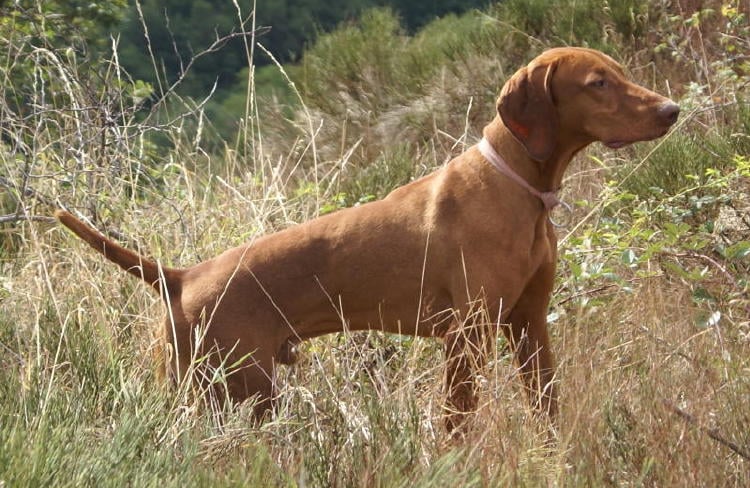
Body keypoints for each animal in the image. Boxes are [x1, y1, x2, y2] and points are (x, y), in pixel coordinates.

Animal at [55, 48, 680, 430]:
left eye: (620, 72)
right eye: (597, 83)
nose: (673, 110)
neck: (520, 187)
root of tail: (181, 276)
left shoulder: (529, 325)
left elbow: (547, 411)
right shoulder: (468, 336)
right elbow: (458, 425)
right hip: (236, 392)